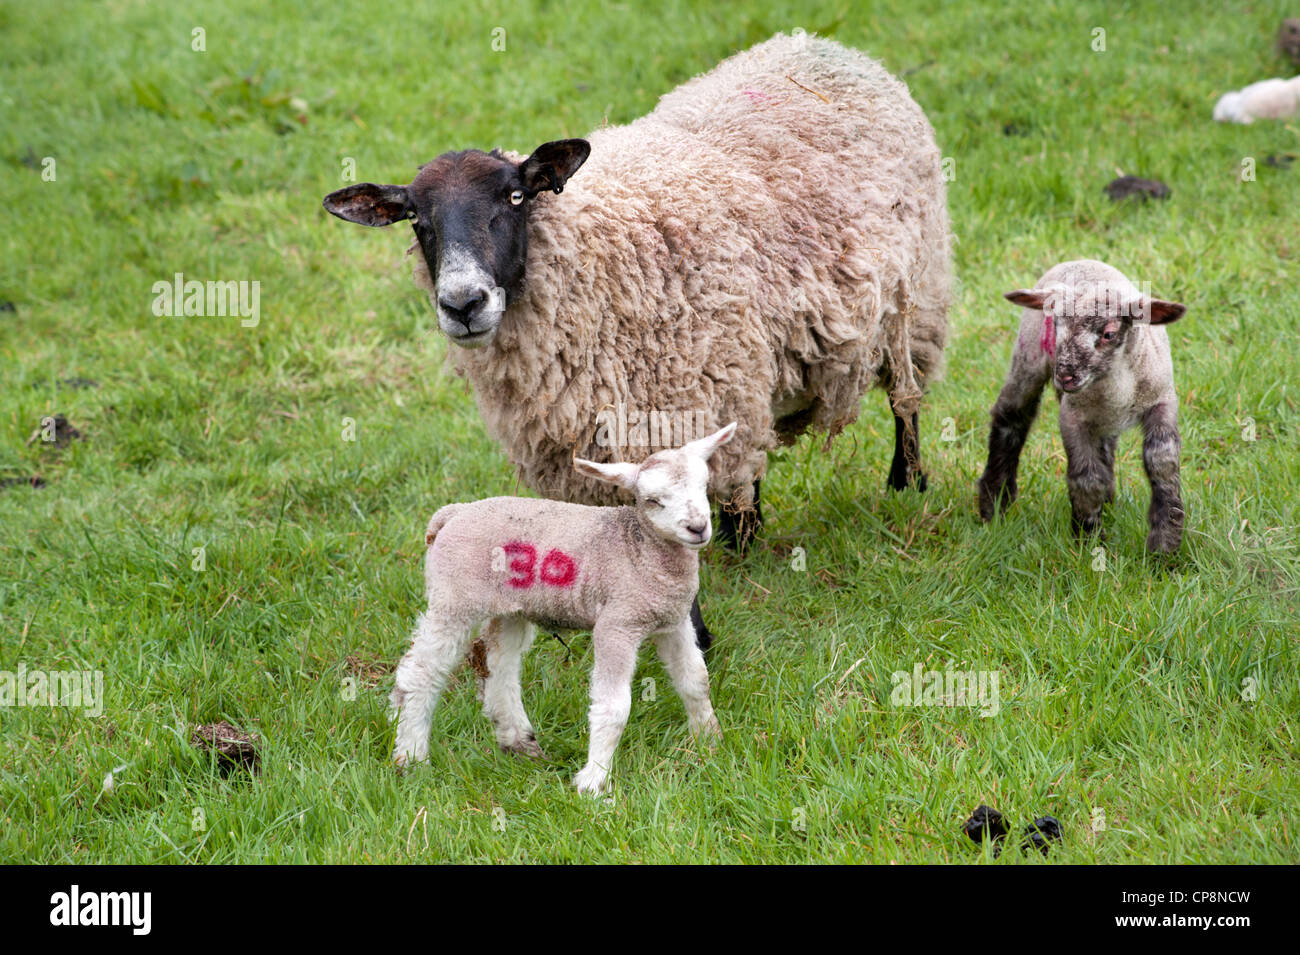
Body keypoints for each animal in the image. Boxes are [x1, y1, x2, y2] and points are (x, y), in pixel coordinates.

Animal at [322, 35, 956, 649]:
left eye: (515, 198)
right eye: (416, 220)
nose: (463, 304)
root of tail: (827, 46)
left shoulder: (670, 409)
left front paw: (695, 635)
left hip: (916, 299)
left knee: (904, 400)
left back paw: (905, 484)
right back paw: (744, 533)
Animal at [384, 420, 738, 795]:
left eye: (704, 487)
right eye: (653, 501)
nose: (698, 528)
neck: (639, 549)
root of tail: (452, 513)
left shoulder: (674, 620)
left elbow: (696, 681)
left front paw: (710, 744)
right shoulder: (618, 623)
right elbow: (614, 706)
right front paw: (594, 782)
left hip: (510, 607)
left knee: (499, 667)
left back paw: (519, 743)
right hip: (455, 598)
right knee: (422, 672)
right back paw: (411, 756)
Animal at [977, 261, 1190, 556]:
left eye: (1109, 334)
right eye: (1056, 327)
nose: (1064, 377)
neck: (1118, 387)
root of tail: (1080, 260)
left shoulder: (1162, 402)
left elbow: (1162, 463)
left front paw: (1164, 544)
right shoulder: (1072, 417)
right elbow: (1086, 478)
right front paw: (1089, 541)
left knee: (1105, 448)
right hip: (1028, 357)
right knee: (1011, 417)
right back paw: (994, 503)